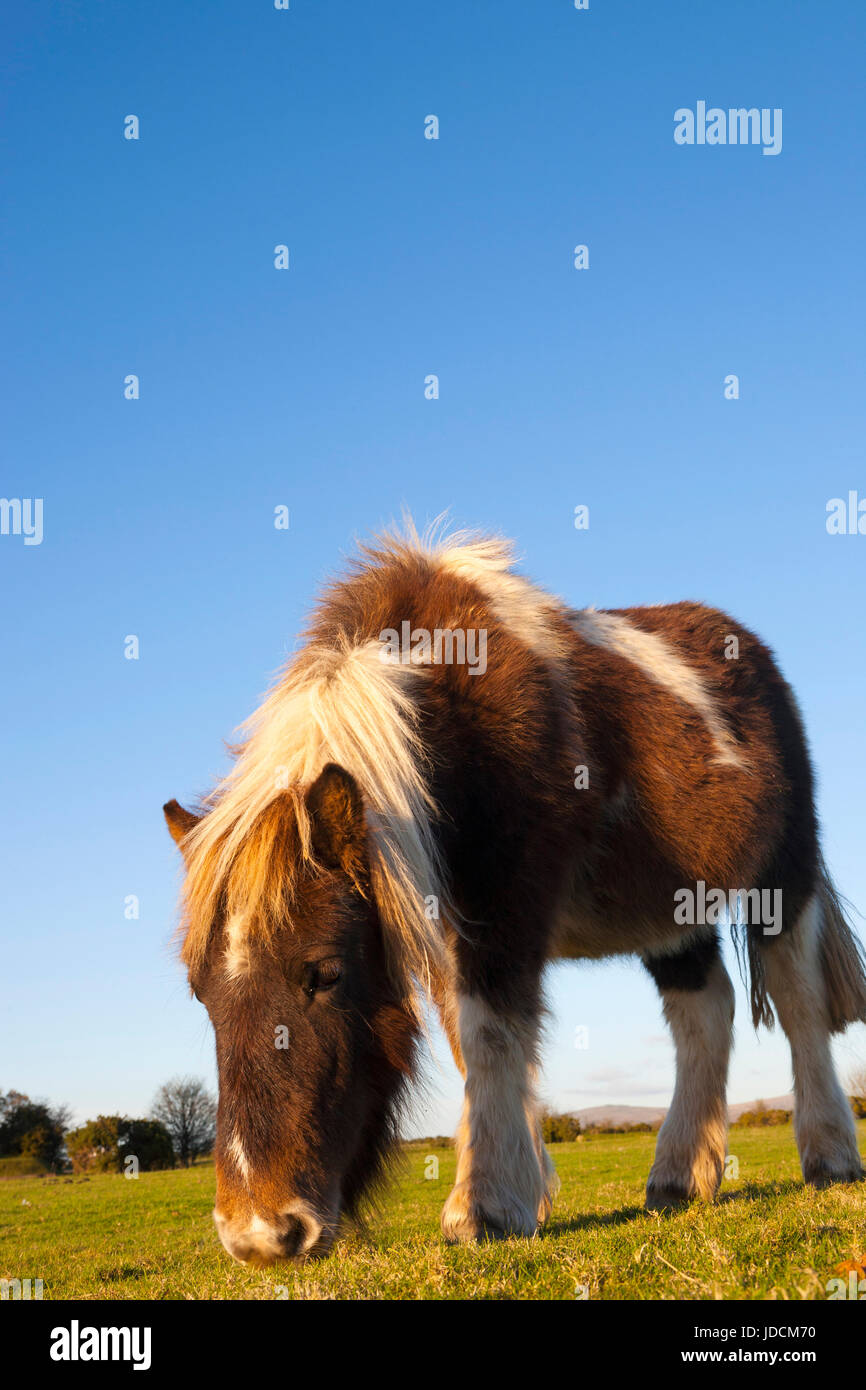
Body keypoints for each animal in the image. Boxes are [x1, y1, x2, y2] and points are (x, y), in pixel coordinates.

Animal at [164, 523, 866, 1265]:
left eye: (323, 973)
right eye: (201, 994)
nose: (260, 1236)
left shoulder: (505, 907)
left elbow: (490, 1030)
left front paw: (486, 1206)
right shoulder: (443, 921)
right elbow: (468, 1038)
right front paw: (521, 1190)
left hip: (783, 873)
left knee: (797, 998)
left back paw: (829, 1157)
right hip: (673, 910)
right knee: (704, 1011)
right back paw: (678, 1178)